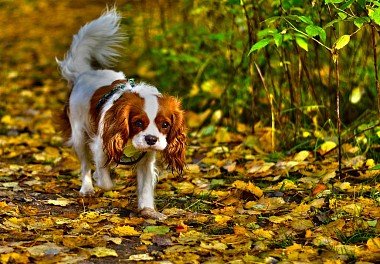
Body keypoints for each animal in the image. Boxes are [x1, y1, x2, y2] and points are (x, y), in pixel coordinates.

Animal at [56, 8, 186, 220]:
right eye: (138, 123)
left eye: (165, 125)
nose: (151, 139)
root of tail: (84, 74)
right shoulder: (101, 146)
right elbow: (105, 180)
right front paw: (104, 181)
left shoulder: (146, 160)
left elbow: (145, 188)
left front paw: (149, 211)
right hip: (79, 135)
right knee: (85, 165)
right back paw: (87, 188)